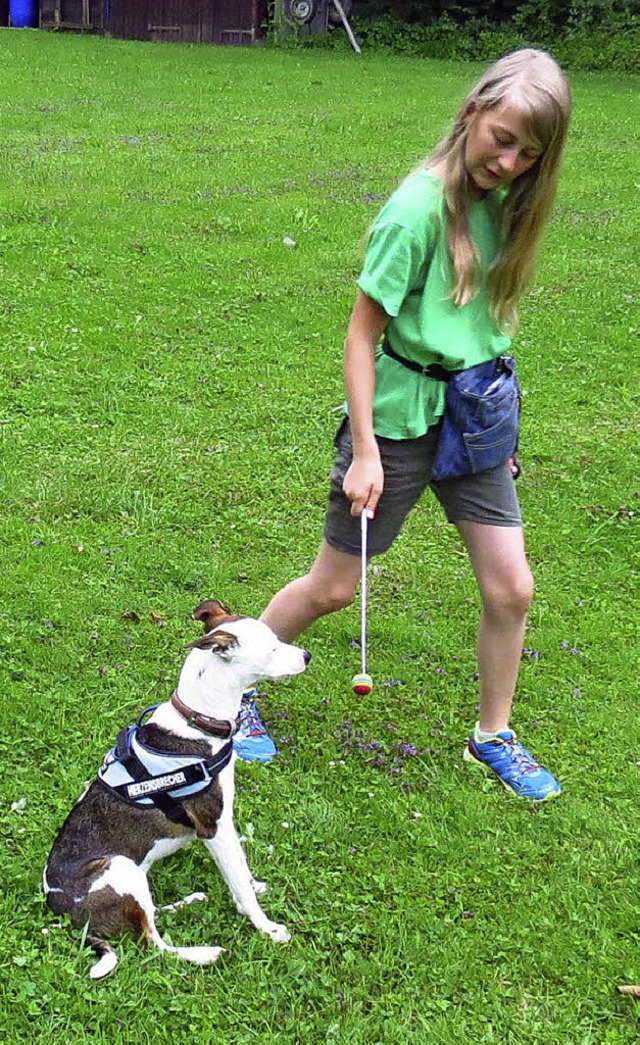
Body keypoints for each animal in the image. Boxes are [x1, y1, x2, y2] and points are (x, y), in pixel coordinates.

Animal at [43, 601, 311, 973]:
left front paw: (255, 887)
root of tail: (59, 908)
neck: (198, 723)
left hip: (135, 877)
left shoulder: (226, 824)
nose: (306, 656)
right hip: (119, 868)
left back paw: (190, 901)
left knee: (151, 914)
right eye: (272, 648)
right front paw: (267, 927)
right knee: (152, 944)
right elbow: (240, 885)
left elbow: (242, 871)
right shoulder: (215, 827)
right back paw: (205, 953)